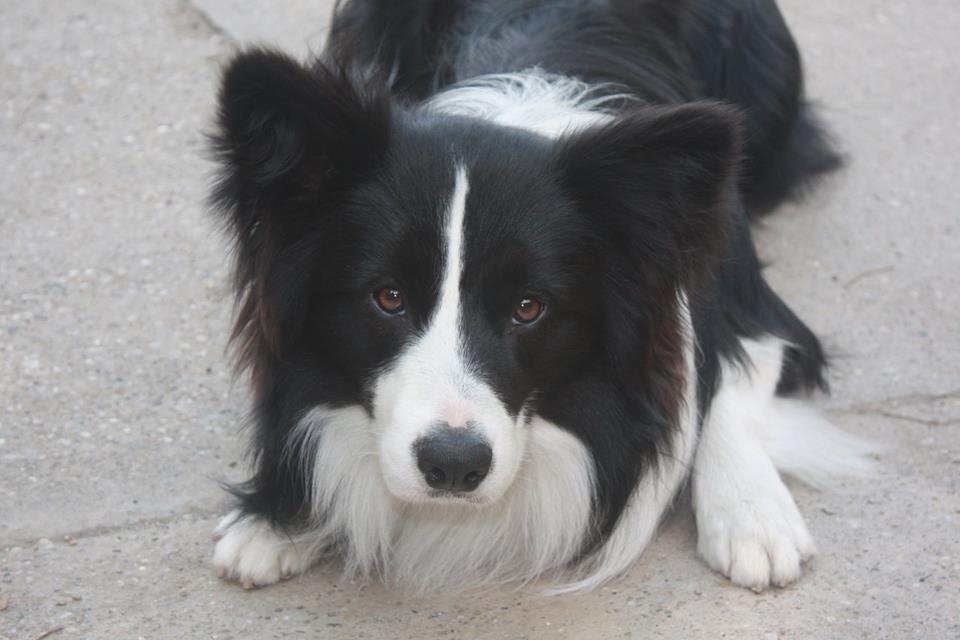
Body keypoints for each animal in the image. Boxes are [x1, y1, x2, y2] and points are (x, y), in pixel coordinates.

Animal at [209, 0, 873, 594]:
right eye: (388, 297)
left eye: (529, 307)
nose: (454, 466)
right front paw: (277, 516)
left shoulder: (744, 290)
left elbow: (737, 366)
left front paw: (752, 513)